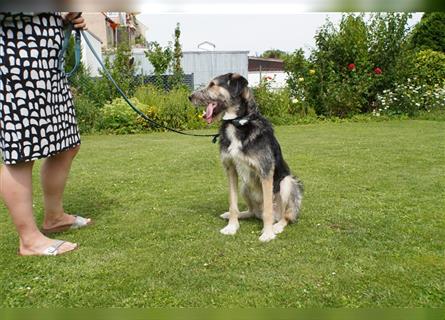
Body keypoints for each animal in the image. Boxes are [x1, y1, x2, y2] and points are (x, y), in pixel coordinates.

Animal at [187, 73, 302, 242]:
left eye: (213, 85)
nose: (190, 97)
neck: (237, 123)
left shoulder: (265, 171)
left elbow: (268, 208)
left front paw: (267, 233)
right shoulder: (230, 170)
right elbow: (233, 204)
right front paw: (231, 227)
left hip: (287, 182)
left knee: (285, 216)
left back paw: (276, 226)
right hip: (245, 186)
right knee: (253, 211)